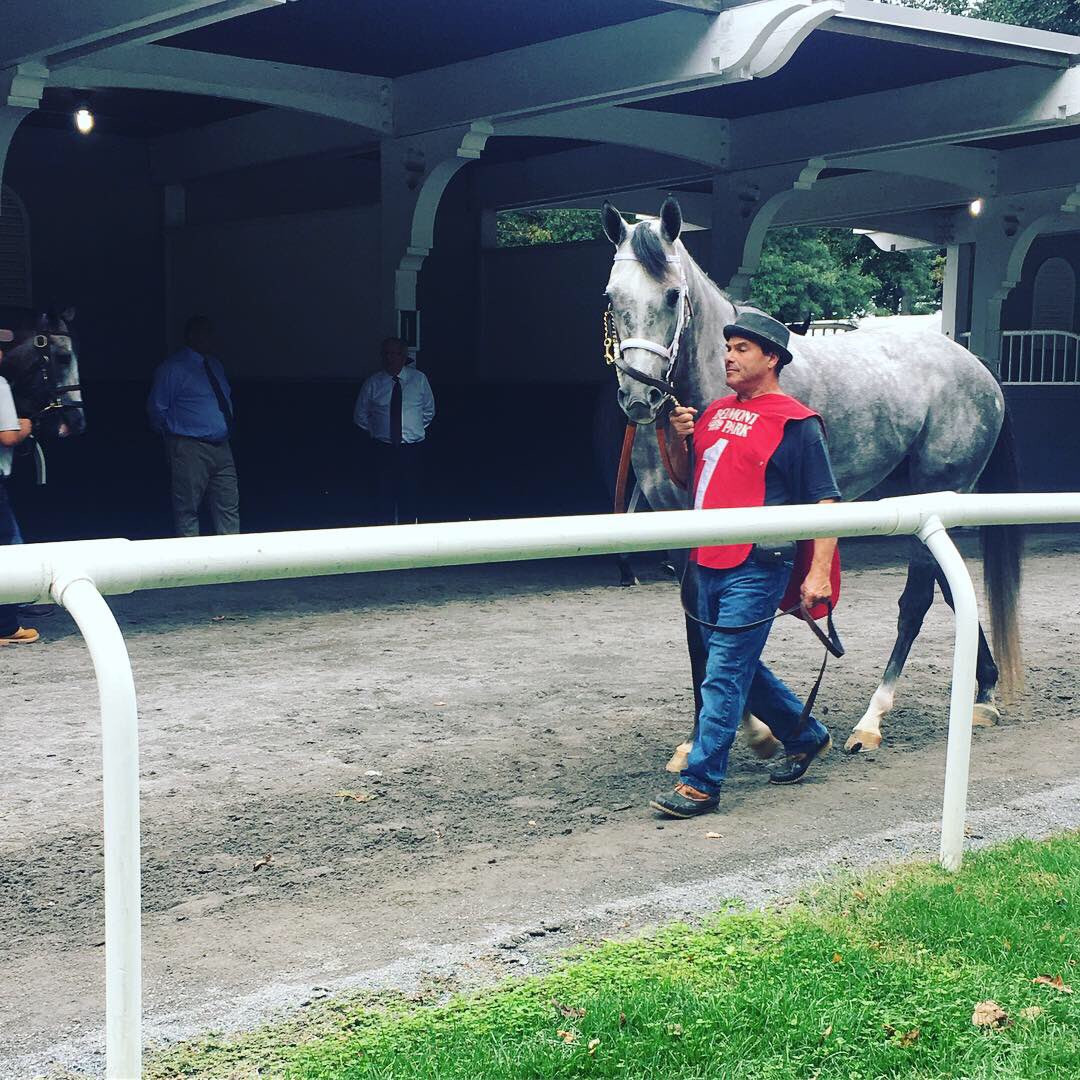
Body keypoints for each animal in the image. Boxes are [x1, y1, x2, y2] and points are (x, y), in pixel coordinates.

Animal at [600, 200, 1019, 760]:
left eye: (671, 294)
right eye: (611, 296)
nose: (639, 398)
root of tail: (980, 370)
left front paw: (747, 730)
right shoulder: (680, 528)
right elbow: (698, 621)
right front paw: (715, 735)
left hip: (934, 493)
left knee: (916, 603)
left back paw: (872, 720)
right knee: (952, 593)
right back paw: (985, 691)